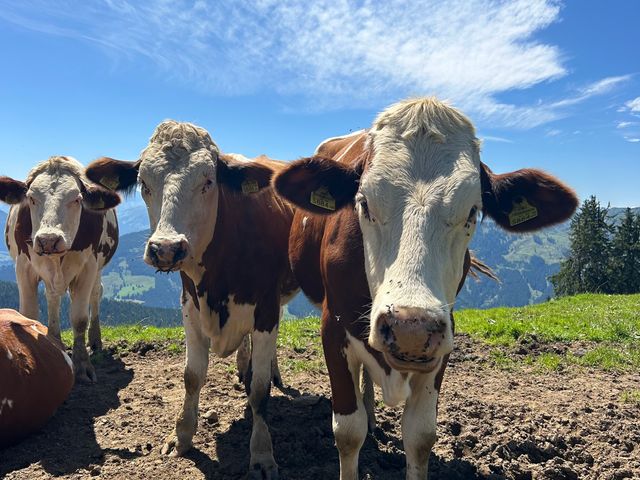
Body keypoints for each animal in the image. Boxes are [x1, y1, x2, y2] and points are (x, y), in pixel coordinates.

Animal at [0, 156, 120, 383]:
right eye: (31, 198)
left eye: (77, 199)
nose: (48, 239)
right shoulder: (23, 266)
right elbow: (29, 314)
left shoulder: (88, 266)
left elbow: (79, 318)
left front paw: (82, 366)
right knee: (53, 298)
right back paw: (55, 340)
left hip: (99, 267)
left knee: (96, 294)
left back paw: (95, 340)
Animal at [85, 120, 298, 478]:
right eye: (144, 183)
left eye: (208, 181)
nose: (166, 248)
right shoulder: (190, 305)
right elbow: (192, 376)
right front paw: (181, 436)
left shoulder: (266, 307)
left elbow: (260, 390)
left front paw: (262, 453)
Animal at [273, 97, 578, 480]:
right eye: (364, 203)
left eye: (473, 211)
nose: (410, 328)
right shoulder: (332, 327)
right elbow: (347, 431)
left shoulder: (443, 337)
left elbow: (420, 435)